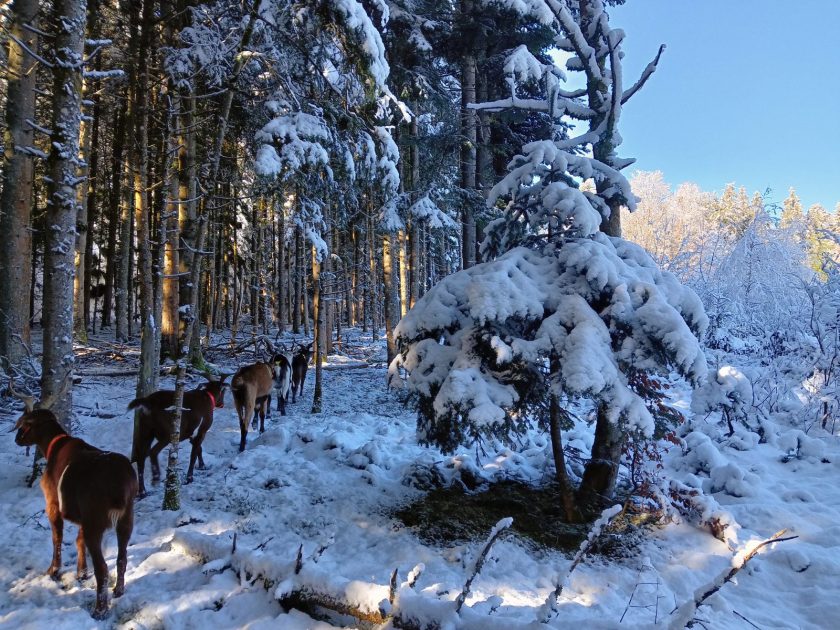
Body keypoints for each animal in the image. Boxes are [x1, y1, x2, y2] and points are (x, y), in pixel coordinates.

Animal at [10, 378, 139, 620]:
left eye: (25, 423)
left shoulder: (53, 502)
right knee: (122, 557)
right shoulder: (81, 515)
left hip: (96, 521)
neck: (50, 446)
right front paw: (81, 573)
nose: (16, 439)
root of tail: (121, 486)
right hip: (127, 517)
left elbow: (57, 538)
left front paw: (53, 570)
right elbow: (78, 541)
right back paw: (118, 591)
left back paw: (100, 609)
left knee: (103, 568)